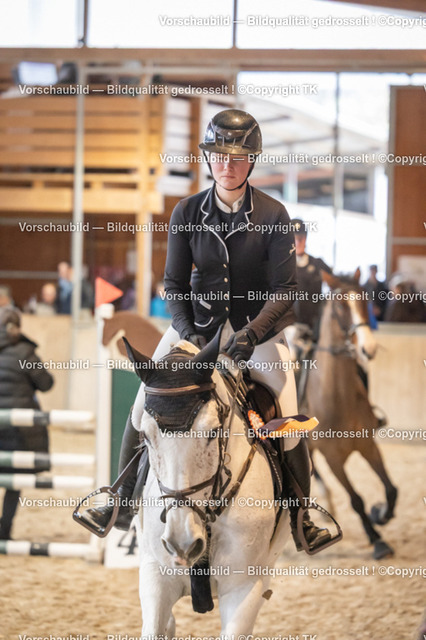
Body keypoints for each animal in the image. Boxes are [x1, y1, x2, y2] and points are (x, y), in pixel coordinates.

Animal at [124, 328, 291, 639]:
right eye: (146, 437)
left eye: (213, 432)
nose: (182, 544)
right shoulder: (156, 576)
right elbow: (153, 627)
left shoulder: (243, 588)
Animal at [305, 271, 398, 560]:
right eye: (339, 306)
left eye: (365, 299)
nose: (368, 348)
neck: (338, 396)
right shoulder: (333, 459)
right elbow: (356, 499)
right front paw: (377, 539)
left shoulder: (368, 445)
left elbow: (391, 489)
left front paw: (380, 514)